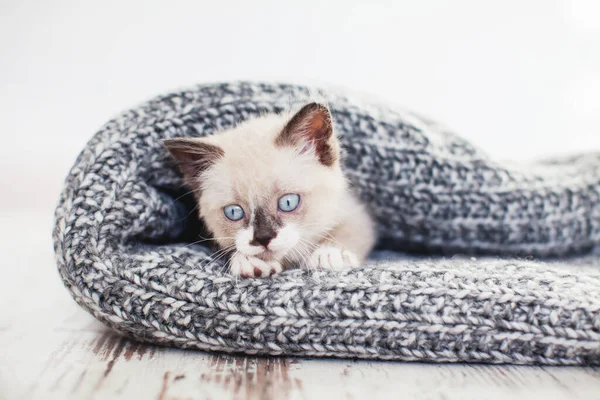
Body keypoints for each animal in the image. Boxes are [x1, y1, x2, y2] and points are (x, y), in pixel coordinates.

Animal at [164, 103, 378, 278]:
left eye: (288, 202)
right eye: (234, 212)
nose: (263, 238)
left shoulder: (355, 212)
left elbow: (347, 231)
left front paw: (329, 253)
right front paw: (250, 262)